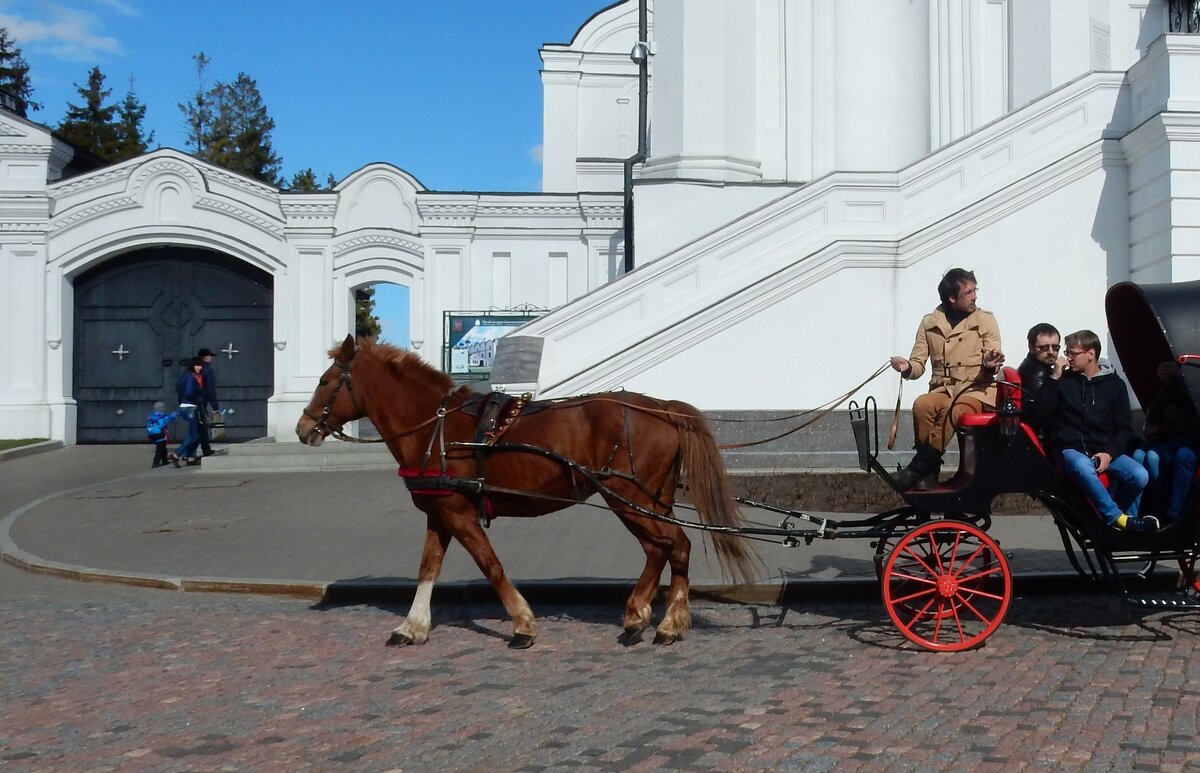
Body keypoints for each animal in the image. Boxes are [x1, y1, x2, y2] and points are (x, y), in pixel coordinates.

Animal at [294, 336, 753, 648]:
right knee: (661, 549)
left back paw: (668, 622)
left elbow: (491, 566)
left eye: (326, 381)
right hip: (643, 500)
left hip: (632, 499)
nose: (302, 427)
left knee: (675, 546)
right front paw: (412, 626)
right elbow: (428, 568)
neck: (436, 427)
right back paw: (639, 614)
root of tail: (662, 407)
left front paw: (522, 623)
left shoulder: (459, 514)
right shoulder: (440, 512)